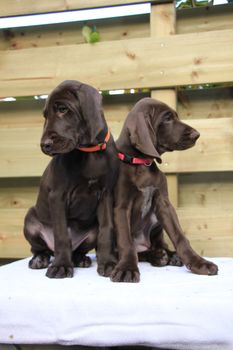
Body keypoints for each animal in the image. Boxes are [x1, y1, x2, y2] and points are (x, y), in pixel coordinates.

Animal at [23, 80, 118, 278]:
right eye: (45, 115)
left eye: (63, 109)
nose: (45, 145)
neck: (89, 152)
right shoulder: (57, 196)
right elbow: (61, 235)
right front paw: (61, 266)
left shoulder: (106, 194)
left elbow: (107, 229)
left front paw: (108, 263)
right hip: (30, 219)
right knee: (40, 248)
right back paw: (40, 259)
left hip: (91, 231)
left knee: (79, 249)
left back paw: (80, 258)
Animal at [112, 97, 218, 284]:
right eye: (167, 118)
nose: (196, 134)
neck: (142, 163)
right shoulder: (121, 207)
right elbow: (125, 241)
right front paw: (127, 268)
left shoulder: (164, 204)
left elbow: (180, 236)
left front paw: (199, 263)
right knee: (137, 251)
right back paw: (157, 256)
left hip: (156, 222)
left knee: (159, 245)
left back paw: (168, 255)